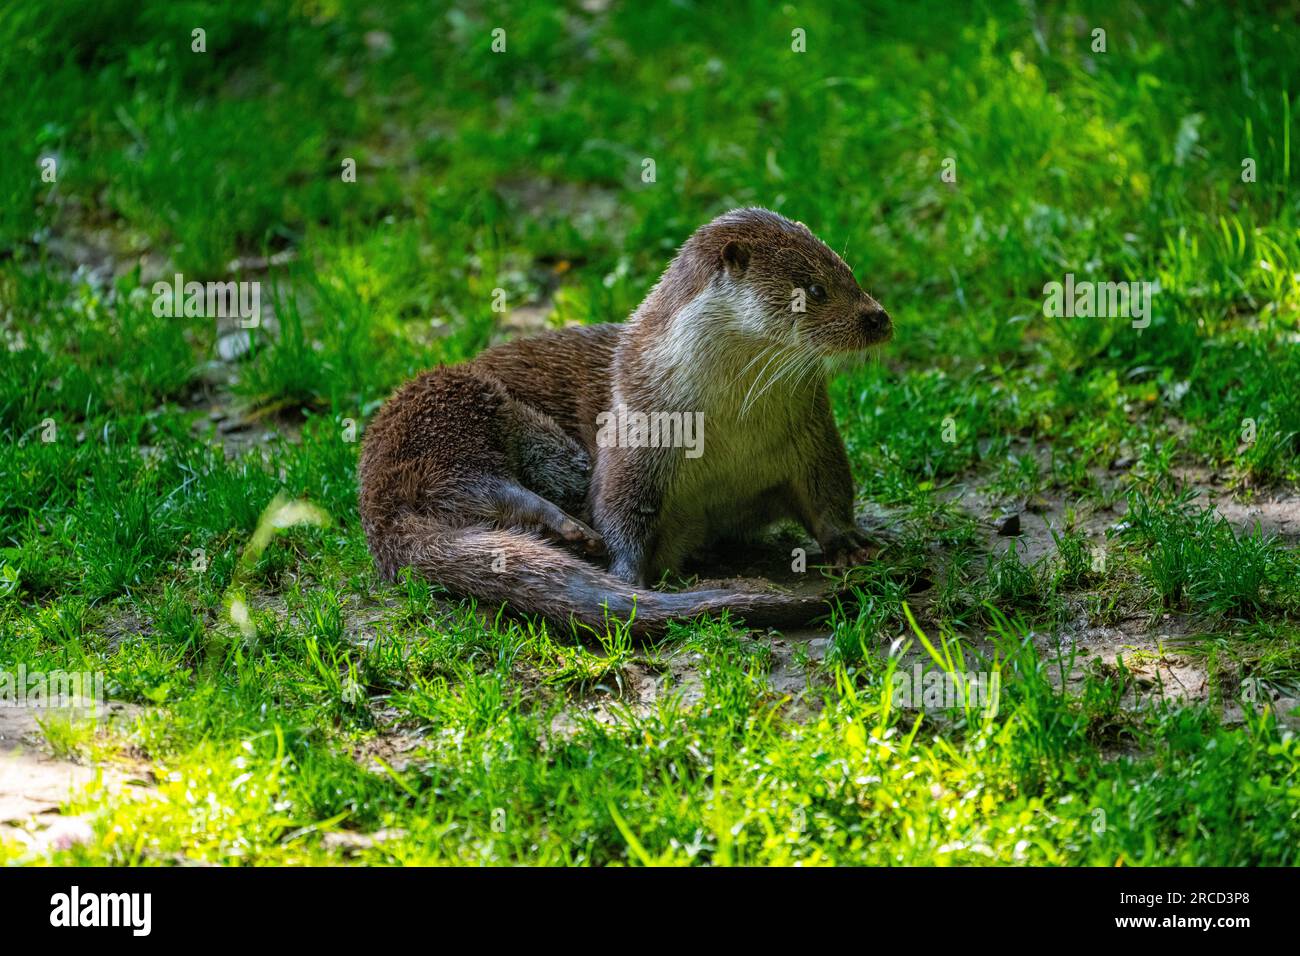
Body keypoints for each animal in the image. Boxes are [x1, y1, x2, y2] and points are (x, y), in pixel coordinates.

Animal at [361, 210, 899, 642]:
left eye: (850, 273)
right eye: (815, 290)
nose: (878, 318)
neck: (732, 428)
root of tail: (377, 512)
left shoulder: (813, 436)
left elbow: (828, 493)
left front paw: (851, 544)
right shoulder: (637, 429)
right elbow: (619, 507)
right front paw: (626, 579)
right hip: (450, 404)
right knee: (476, 479)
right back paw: (569, 530)